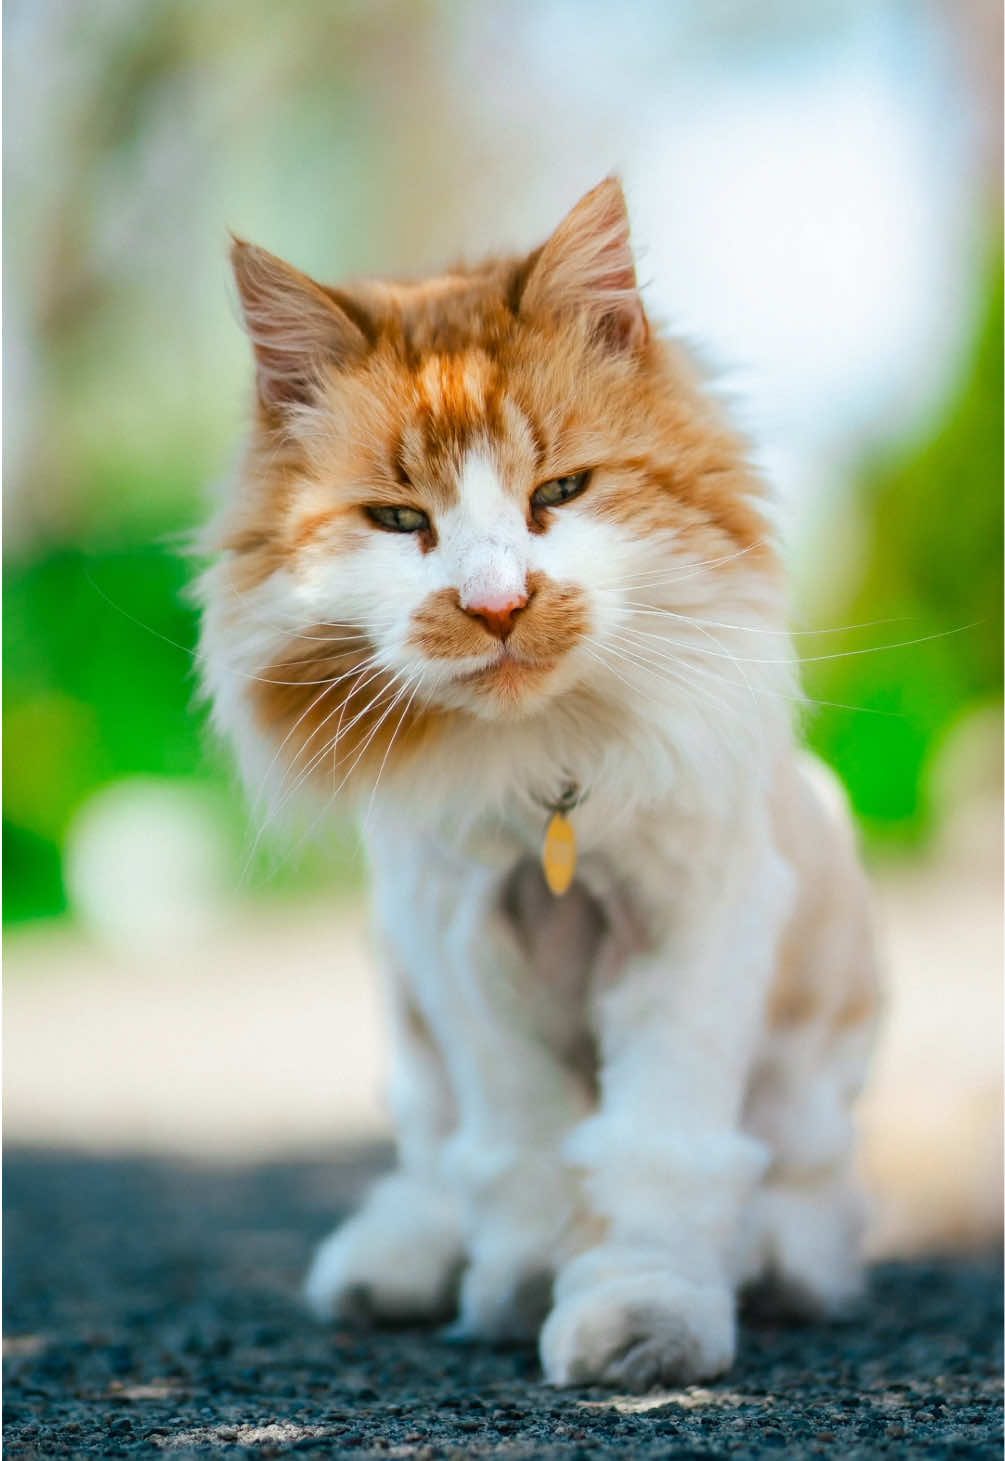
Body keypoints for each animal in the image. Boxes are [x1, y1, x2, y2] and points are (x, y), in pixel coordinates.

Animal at [198, 176, 876, 1385]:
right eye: (399, 519)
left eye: (560, 490)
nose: (498, 604)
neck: (543, 780)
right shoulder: (457, 937)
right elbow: (518, 1145)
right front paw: (517, 1286)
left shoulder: (692, 920)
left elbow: (660, 1149)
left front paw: (647, 1320)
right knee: (431, 1159)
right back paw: (399, 1262)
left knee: (807, 1186)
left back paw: (775, 1258)